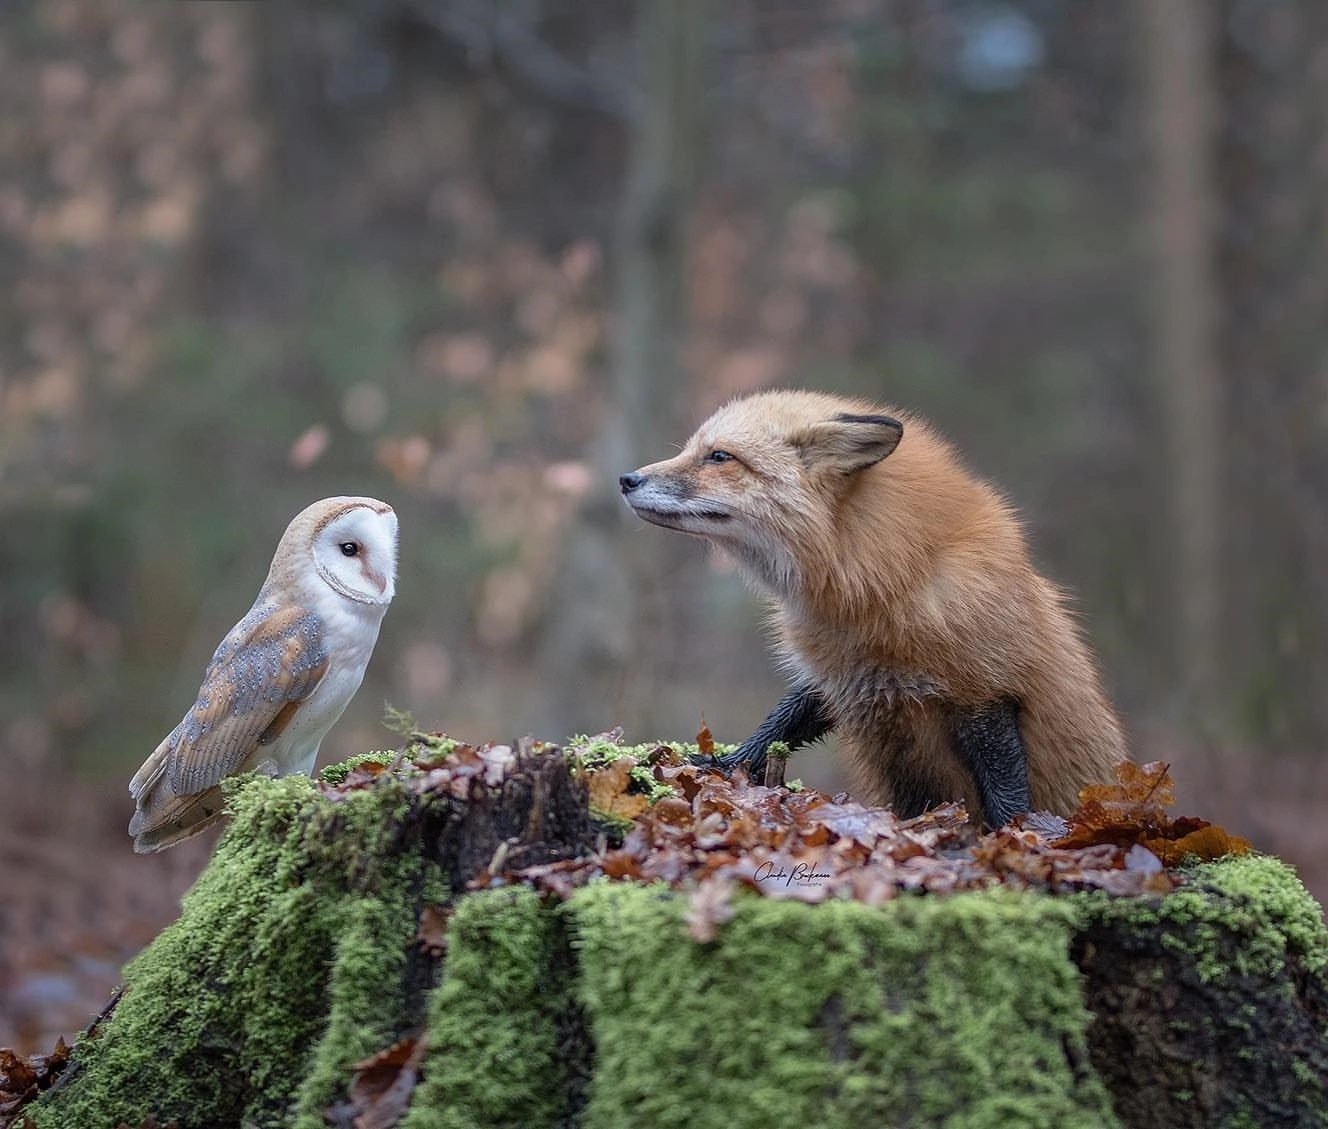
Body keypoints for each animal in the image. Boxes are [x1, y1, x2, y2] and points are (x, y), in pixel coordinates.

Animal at [621, 390, 1131, 823]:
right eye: (693, 450)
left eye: (720, 457)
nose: (627, 479)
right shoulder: (841, 677)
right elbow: (774, 729)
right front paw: (724, 766)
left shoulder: (984, 690)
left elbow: (1006, 793)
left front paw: (1019, 835)